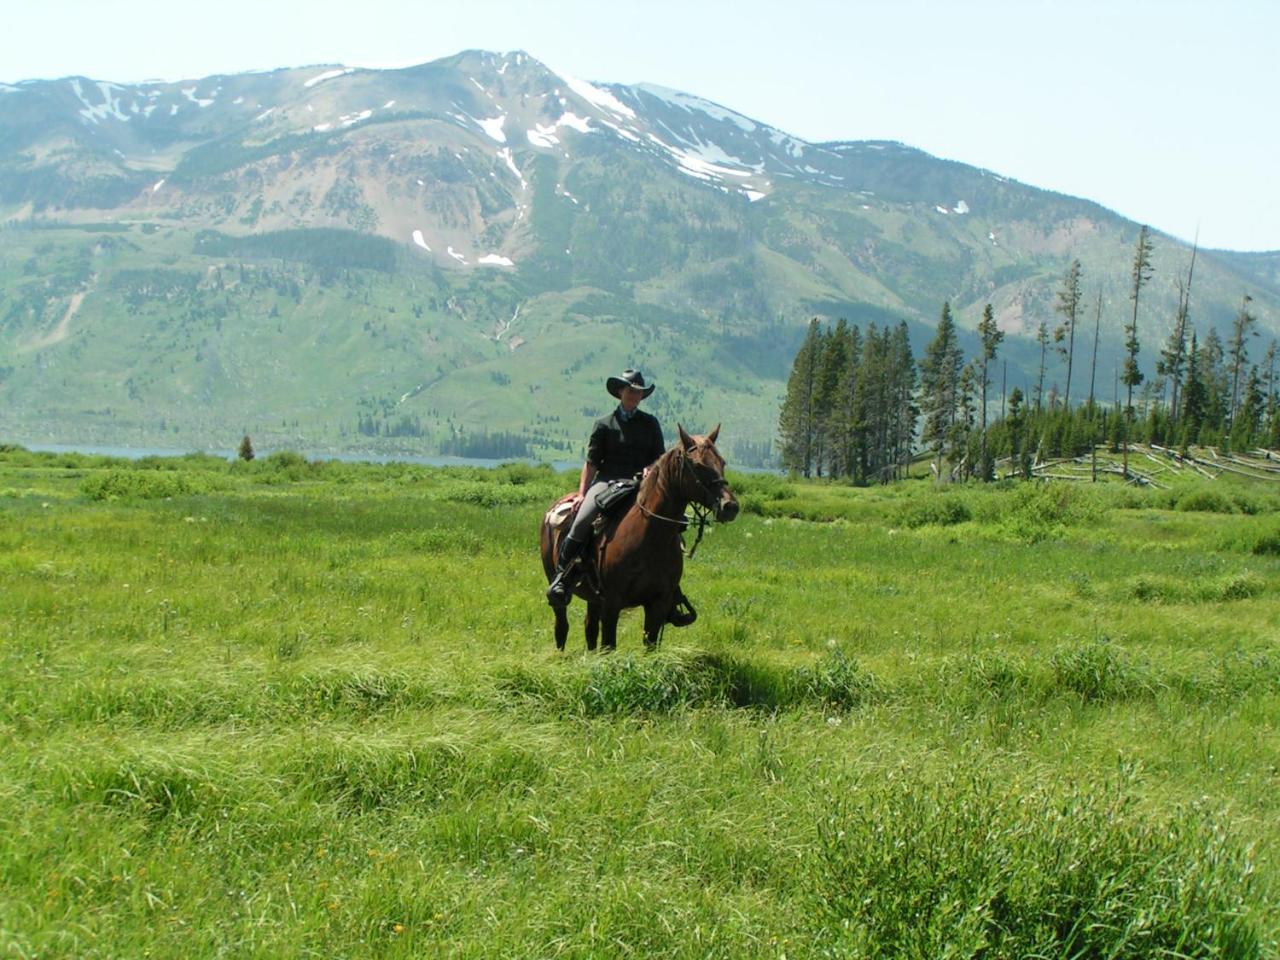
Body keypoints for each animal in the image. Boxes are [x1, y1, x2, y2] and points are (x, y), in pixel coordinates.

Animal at [540, 427, 742, 655]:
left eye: (722, 462)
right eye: (698, 465)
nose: (730, 506)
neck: (651, 537)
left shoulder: (658, 604)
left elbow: (650, 646)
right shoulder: (612, 603)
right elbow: (609, 645)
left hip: (593, 597)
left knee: (589, 626)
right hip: (557, 586)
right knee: (562, 625)